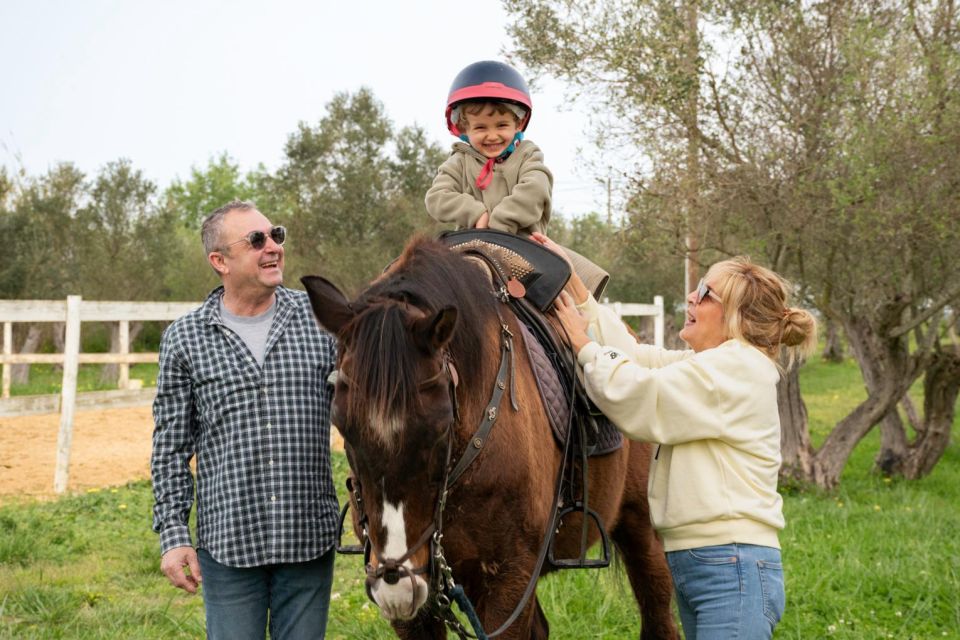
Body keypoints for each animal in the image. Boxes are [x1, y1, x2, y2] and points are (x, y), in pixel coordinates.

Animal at [304, 236, 680, 640]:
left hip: (641, 530)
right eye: (342, 426)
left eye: (440, 427)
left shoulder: (508, 582)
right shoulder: (418, 608)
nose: (395, 579)